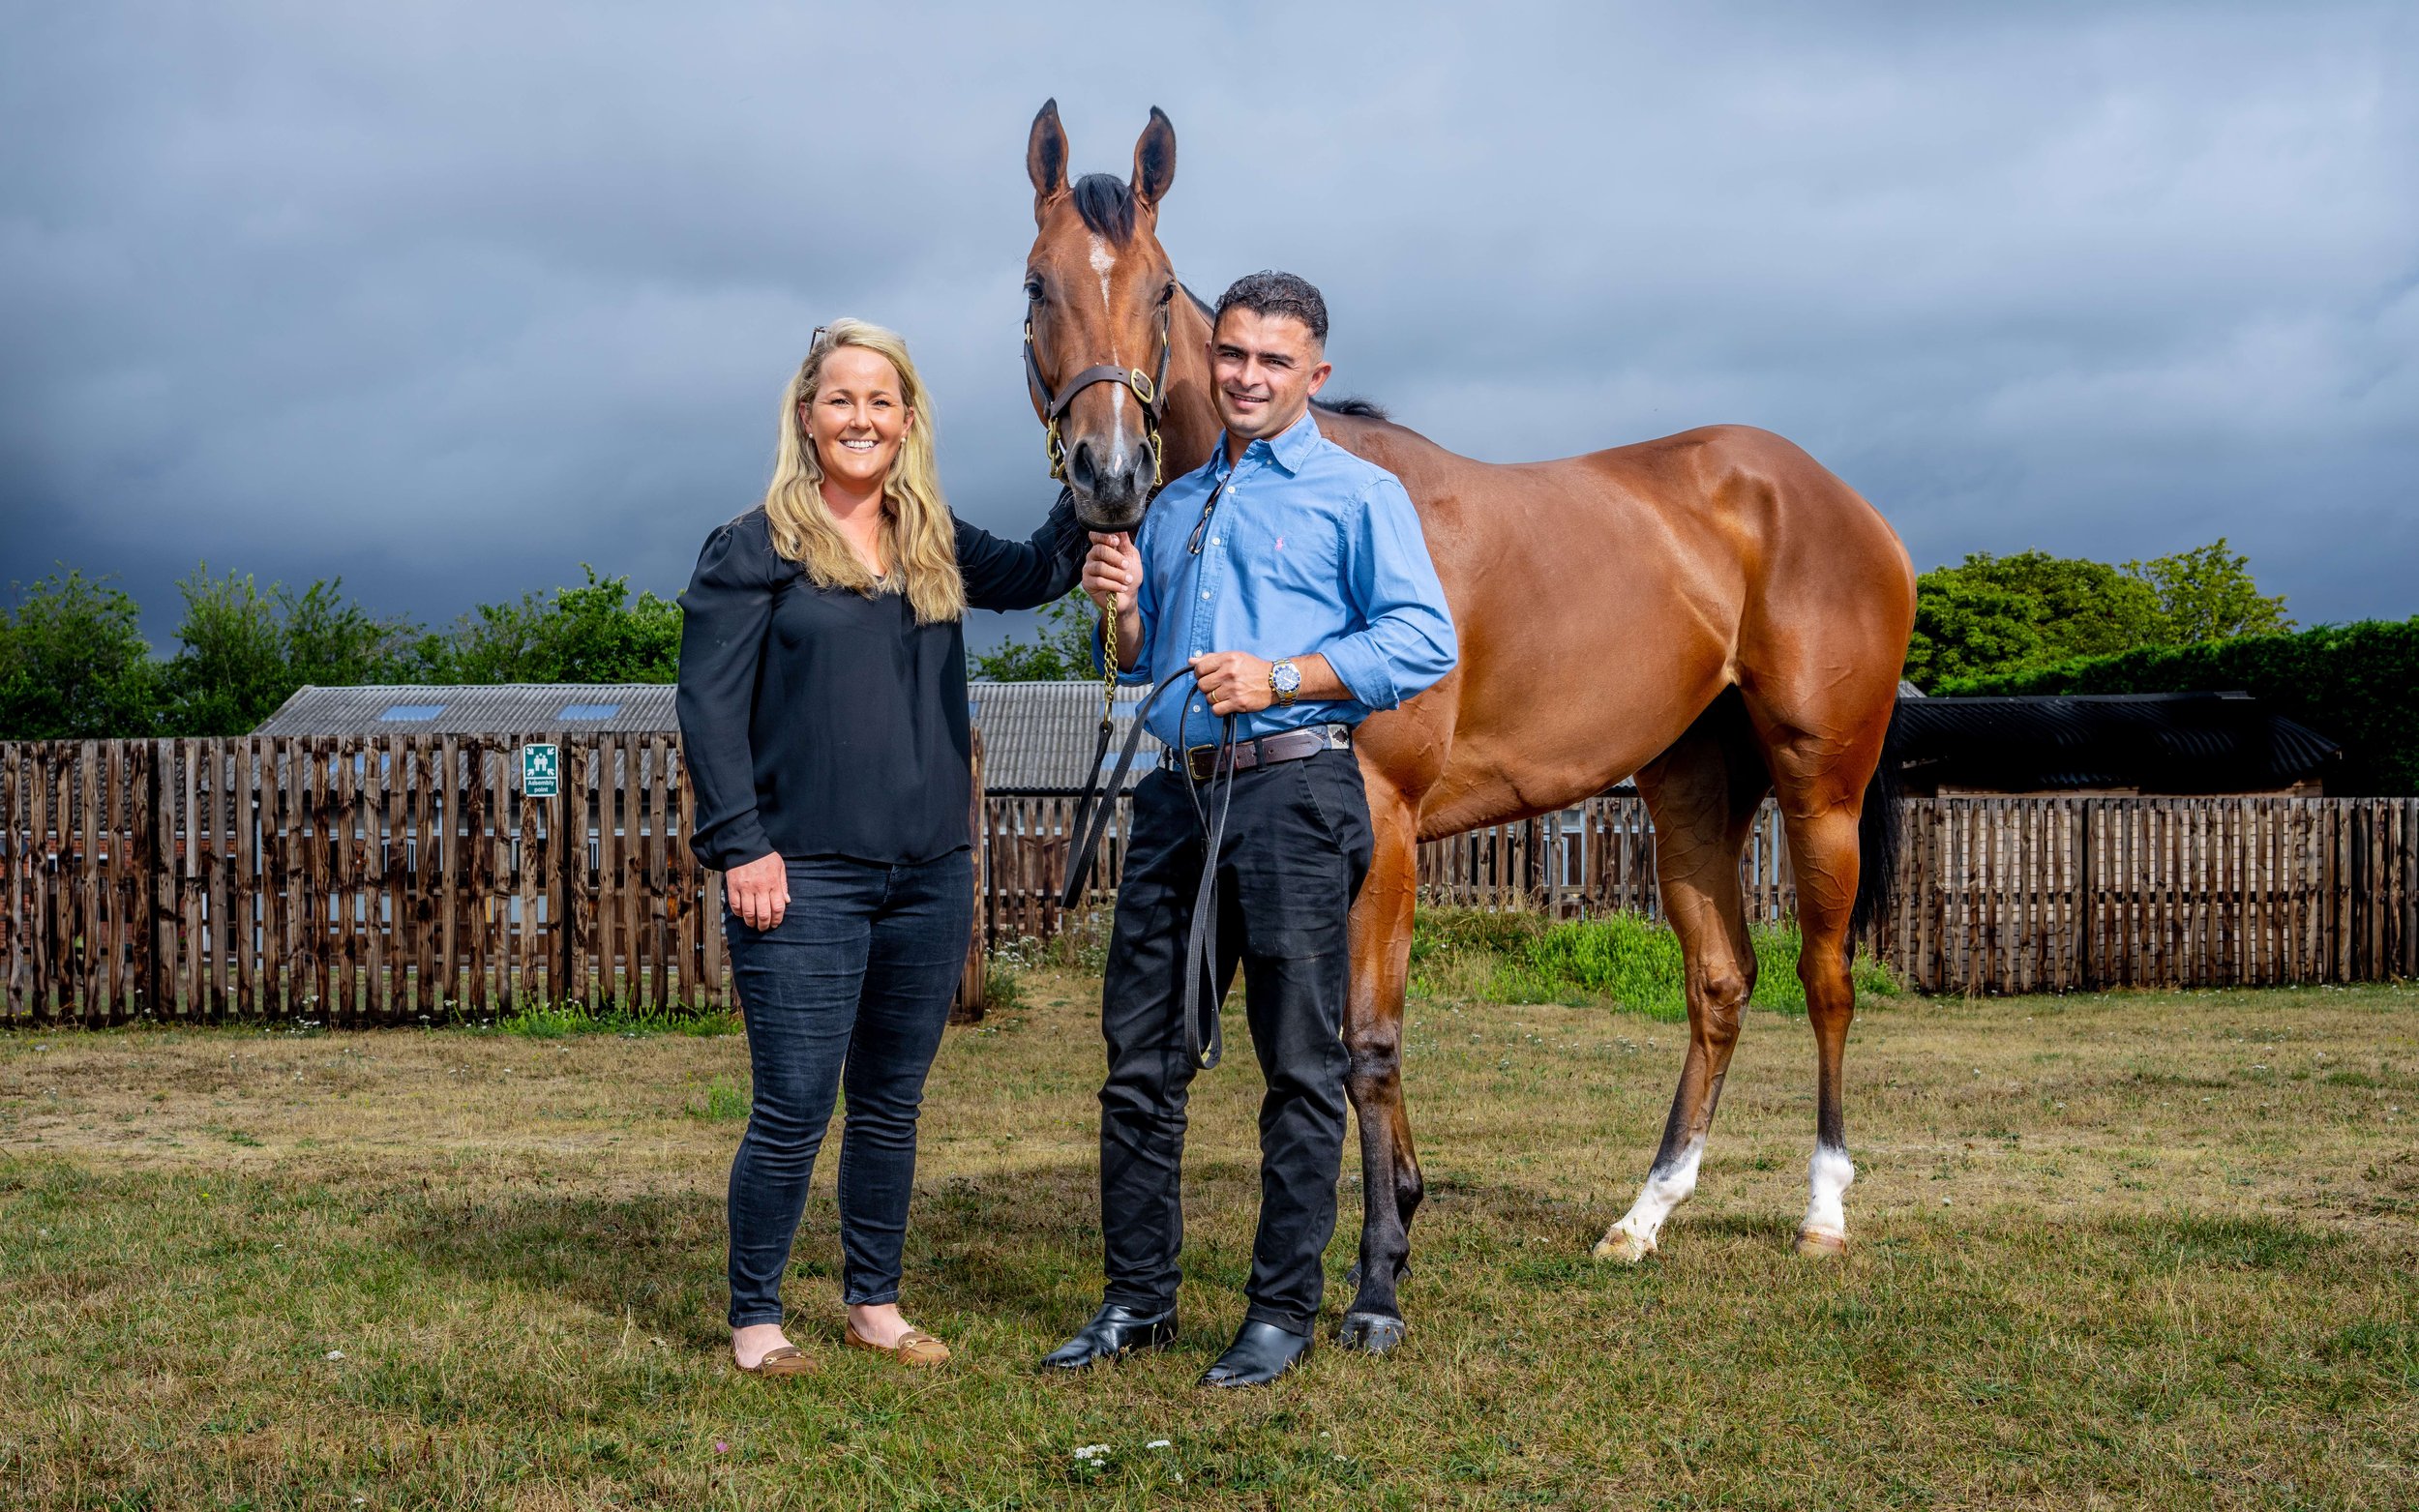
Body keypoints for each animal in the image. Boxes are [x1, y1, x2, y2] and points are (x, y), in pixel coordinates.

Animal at [1021, 100, 1906, 1345]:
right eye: (1037, 284)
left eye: (1155, 290)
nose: (1108, 474)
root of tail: (1830, 497)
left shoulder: (1383, 830)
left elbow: (1366, 1042)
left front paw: (1378, 1275)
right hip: (1689, 789)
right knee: (1721, 984)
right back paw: (1644, 1215)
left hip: (1819, 790)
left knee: (1823, 982)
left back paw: (1823, 1210)